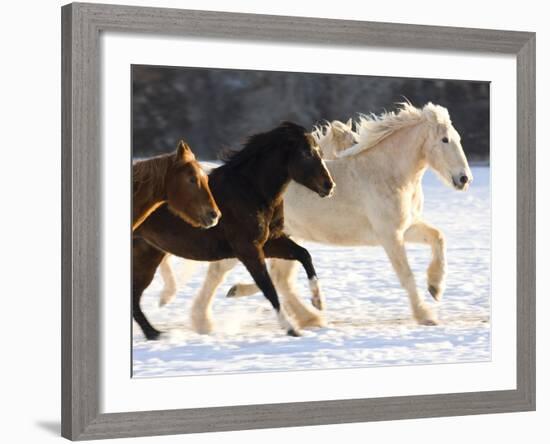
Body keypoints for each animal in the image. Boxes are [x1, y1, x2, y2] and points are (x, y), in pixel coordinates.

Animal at [133, 119, 336, 338]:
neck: (250, 191)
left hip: (148, 256)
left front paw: (318, 302)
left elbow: (304, 254)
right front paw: (291, 327)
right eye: (306, 153)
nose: (329, 186)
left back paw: (154, 333)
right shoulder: (248, 249)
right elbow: (268, 287)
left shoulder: (270, 241)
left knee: (135, 297)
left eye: (319, 152)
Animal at [157, 104, 472, 332]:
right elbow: (405, 275)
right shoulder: (389, 235)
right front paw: (426, 315)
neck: (386, 173)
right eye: (445, 139)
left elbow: (438, 237)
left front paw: (436, 288)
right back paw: (204, 321)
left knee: (279, 279)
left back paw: (307, 316)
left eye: (458, 139)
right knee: (221, 273)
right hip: (251, 242)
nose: (464, 179)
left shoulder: (405, 228)